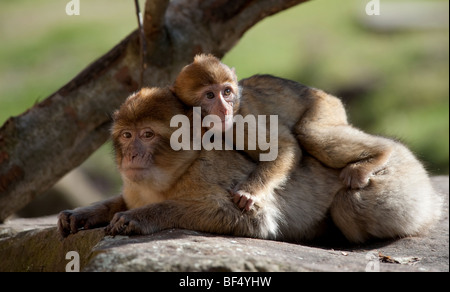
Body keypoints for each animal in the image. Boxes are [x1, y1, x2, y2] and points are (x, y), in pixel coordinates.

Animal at [172, 53, 398, 211]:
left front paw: (249, 192)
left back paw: (382, 151)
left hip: (326, 107)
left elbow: (285, 145)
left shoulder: (241, 120)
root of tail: (322, 93)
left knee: (309, 133)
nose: (224, 109)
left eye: (226, 92)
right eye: (210, 95)